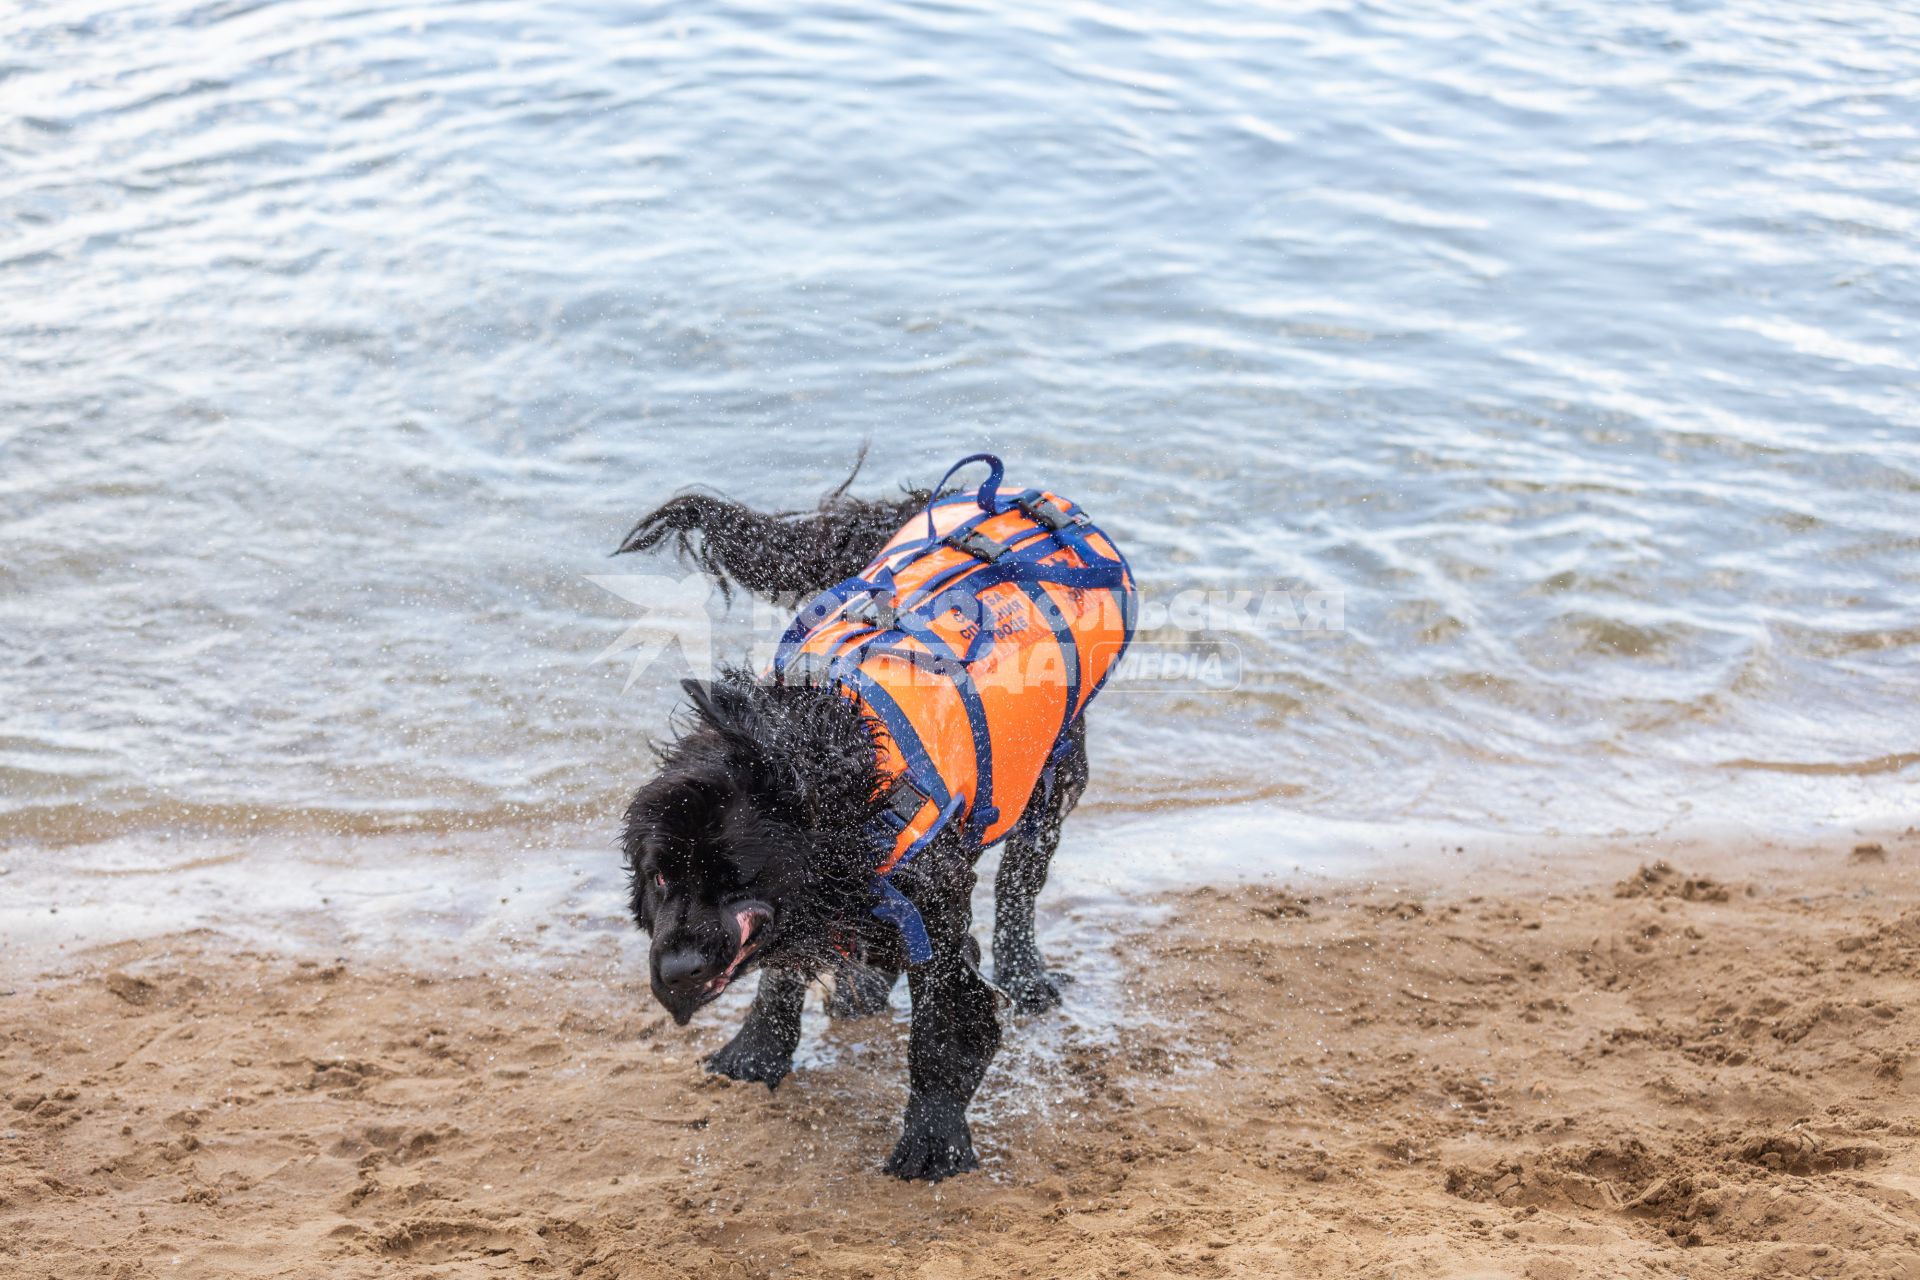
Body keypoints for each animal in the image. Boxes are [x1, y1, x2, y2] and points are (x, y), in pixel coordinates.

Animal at [614, 458, 1121, 1182]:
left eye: (736, 877)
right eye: (659, 879)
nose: (676, 970)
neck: (838, 766)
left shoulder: (930, 904)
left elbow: (944, 1028)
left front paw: (934, 1141)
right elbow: (784, 968)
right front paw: (758, 1051)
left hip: (1053, 772)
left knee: (1022, 878)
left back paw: (1026, 974)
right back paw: (862, 985)